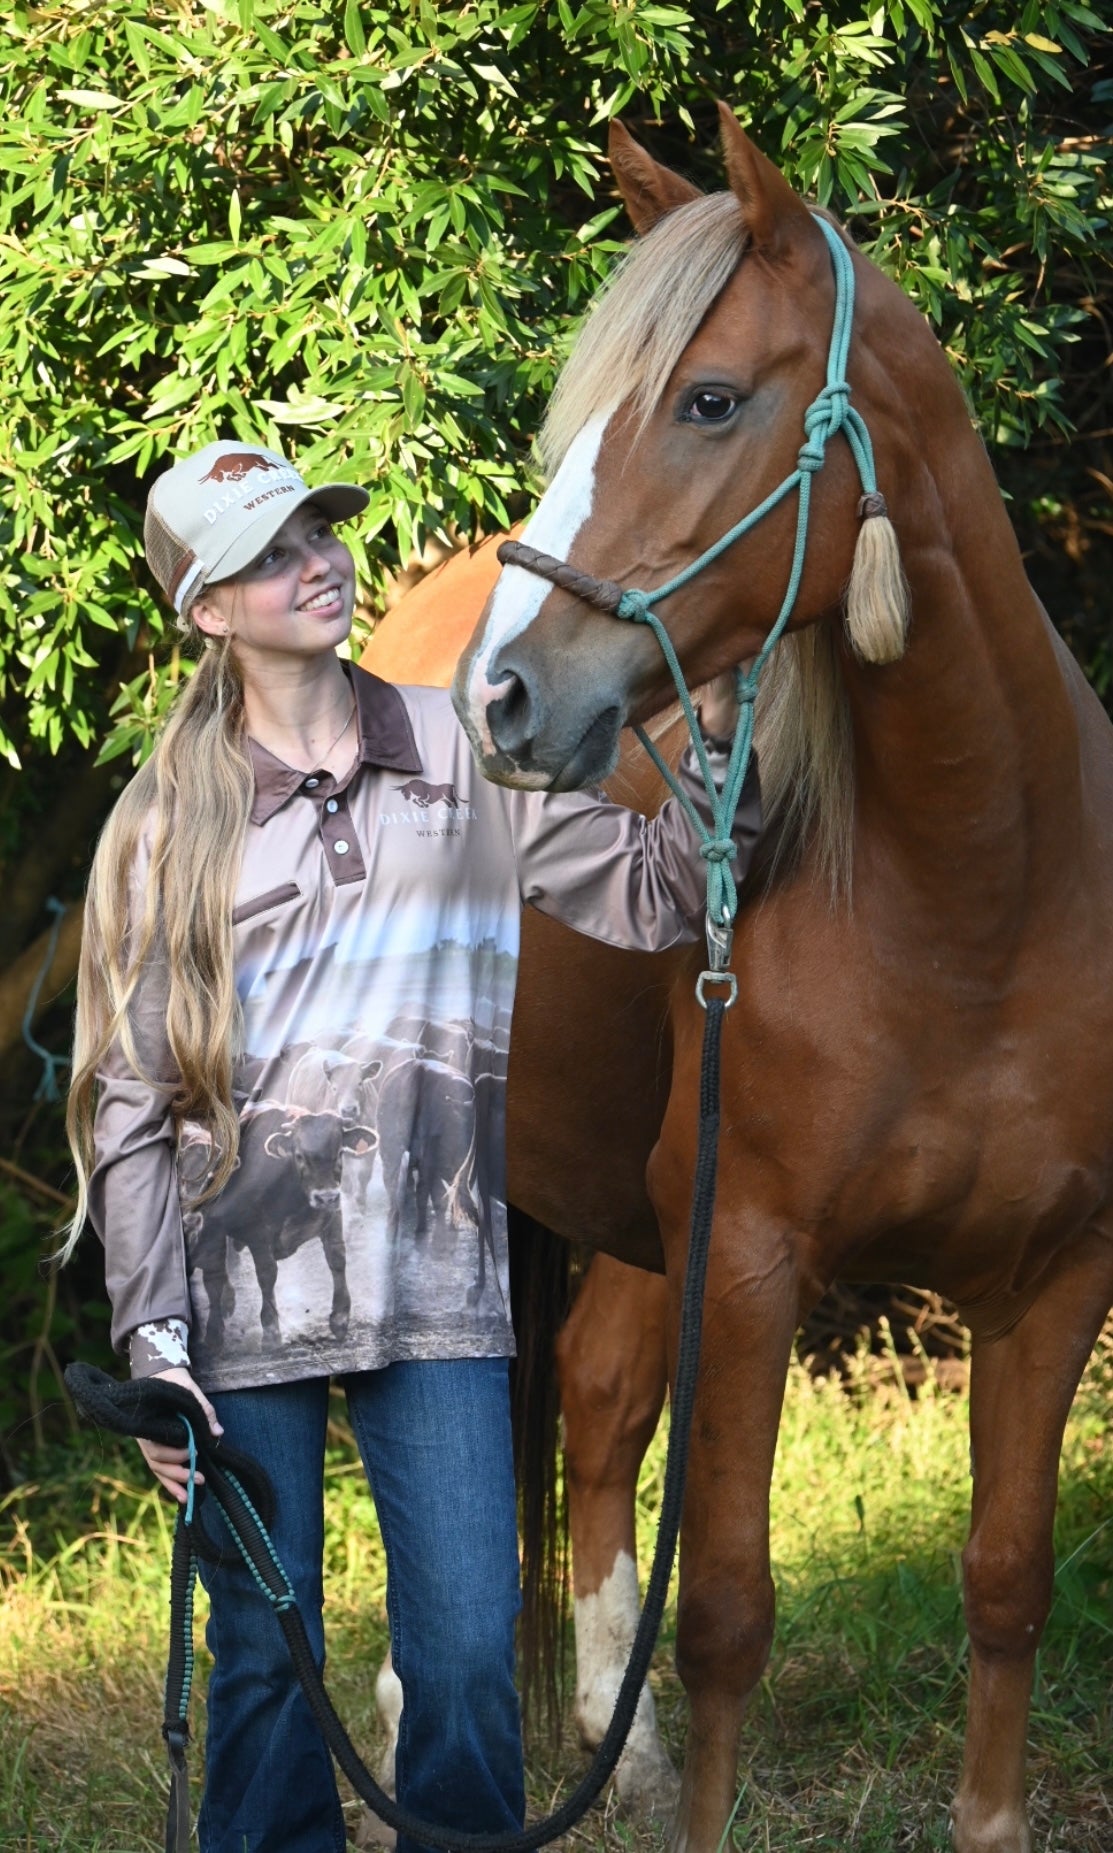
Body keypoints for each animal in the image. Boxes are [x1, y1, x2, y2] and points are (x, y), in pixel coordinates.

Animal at [446, 112, 1111, 1853]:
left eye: (708, 399)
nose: (504, 696)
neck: (976, 901)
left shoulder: (1057, 1274)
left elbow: (1007, 1579)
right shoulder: (744, 1258)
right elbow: (730, 1612)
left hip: (627, 1206)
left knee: (597, 1401)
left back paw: (618, 1753)